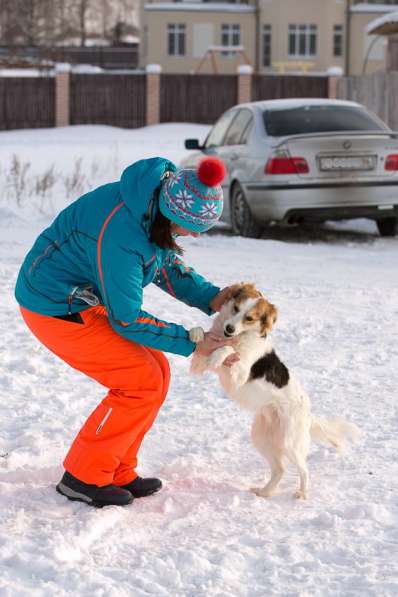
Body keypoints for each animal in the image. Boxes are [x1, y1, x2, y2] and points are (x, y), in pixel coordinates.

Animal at [188, 284, 360, 498]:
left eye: (249, 318)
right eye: (235, 308)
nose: (229, 329)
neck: (239, 336)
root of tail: (307, 412)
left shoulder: (239, 375)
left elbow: (228, 350)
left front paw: (218, 354)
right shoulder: (198, 365)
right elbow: (204, 347)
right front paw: (196, 334)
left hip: (289, 442)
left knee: (304, 470)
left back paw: (302, 494)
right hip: (262, 437)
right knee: (280, 469)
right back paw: (265, 492)